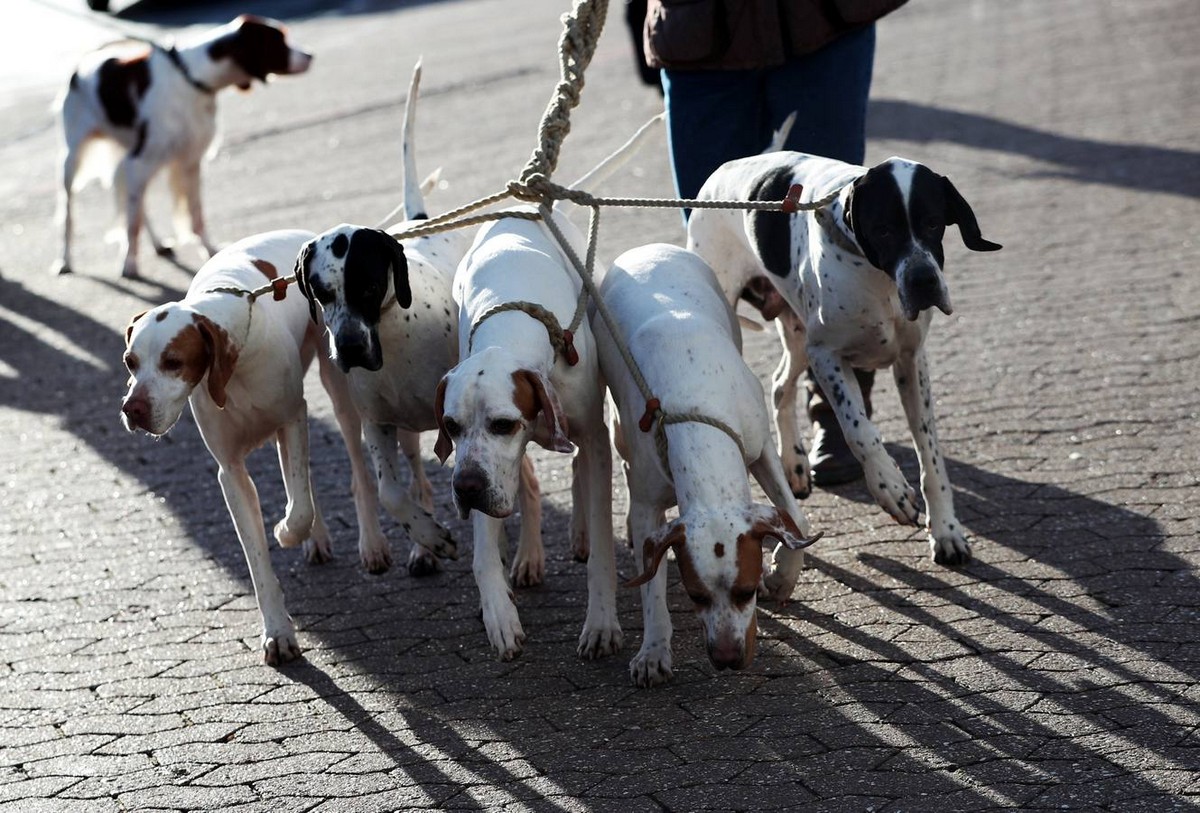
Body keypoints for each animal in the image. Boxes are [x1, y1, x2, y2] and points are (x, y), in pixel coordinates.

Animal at [53, 15, 312, 280]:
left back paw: (158, 245)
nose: (310, 55)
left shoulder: (189, 161)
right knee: (69, 214)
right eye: (280, 40)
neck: (193, 78)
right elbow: (132, 224)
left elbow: (195, 214)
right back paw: (65, 261)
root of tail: (81, 64)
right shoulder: (141, 160)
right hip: (73, 161)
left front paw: (210, 250)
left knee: (136, 202)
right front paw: (128, 263)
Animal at [122, 229, 364, 666]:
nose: (131, 409)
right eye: (130, 361)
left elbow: (298, 510)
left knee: (352, 469)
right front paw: (278, 632)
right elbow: (256, 559)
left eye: (173, 361)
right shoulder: (230, 472)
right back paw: (318, 539)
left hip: (337, 393)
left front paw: (285, 531)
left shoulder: (292, 419)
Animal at [295, 65, 468, 580]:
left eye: (369, 287)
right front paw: (429, 535)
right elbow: (391, 493)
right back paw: (421, 547)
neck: (394, 336)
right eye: (321, 293)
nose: (351, 348)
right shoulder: (377, 424)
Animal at [595, 243, 820, 685]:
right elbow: (651, 583)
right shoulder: (649, 505)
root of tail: (646, 247)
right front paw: (653, 649)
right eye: (696, 596)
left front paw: (783, 575)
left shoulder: (760, 448)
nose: (728, 657)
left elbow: (796, 518)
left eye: (746, 591)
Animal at [686, 152, 1003, 565]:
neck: (879, 278)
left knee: (780, 385)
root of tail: (724, 171)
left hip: (799, 336)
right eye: (883, 230)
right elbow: (860, 430)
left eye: (933, 223)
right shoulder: (828, 356)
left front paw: (947, 531)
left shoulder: (911, 362)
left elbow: (931, 457)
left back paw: (794, 462)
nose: (923, 282)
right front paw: (889, 487)